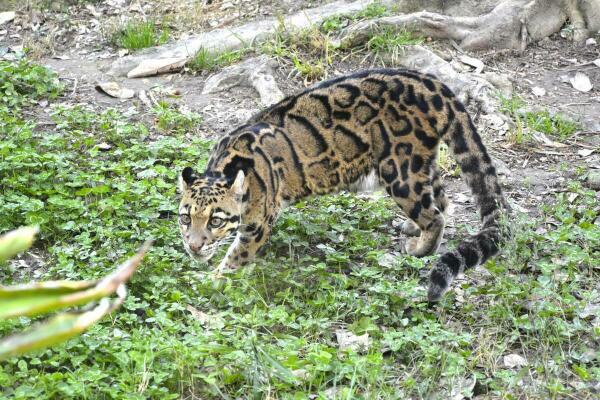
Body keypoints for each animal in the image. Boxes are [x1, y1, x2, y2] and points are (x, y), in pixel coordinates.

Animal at [179, 69, 510, 300]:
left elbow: (235, 257)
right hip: (418, 164)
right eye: (185, 218)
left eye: (216, 220)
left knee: (435, 215)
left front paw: (211, 280)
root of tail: (431, 83)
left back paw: (419, 248)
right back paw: (412, 228)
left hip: (400, 171)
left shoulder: (257, 225)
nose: (194, 246)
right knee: (441, 198)